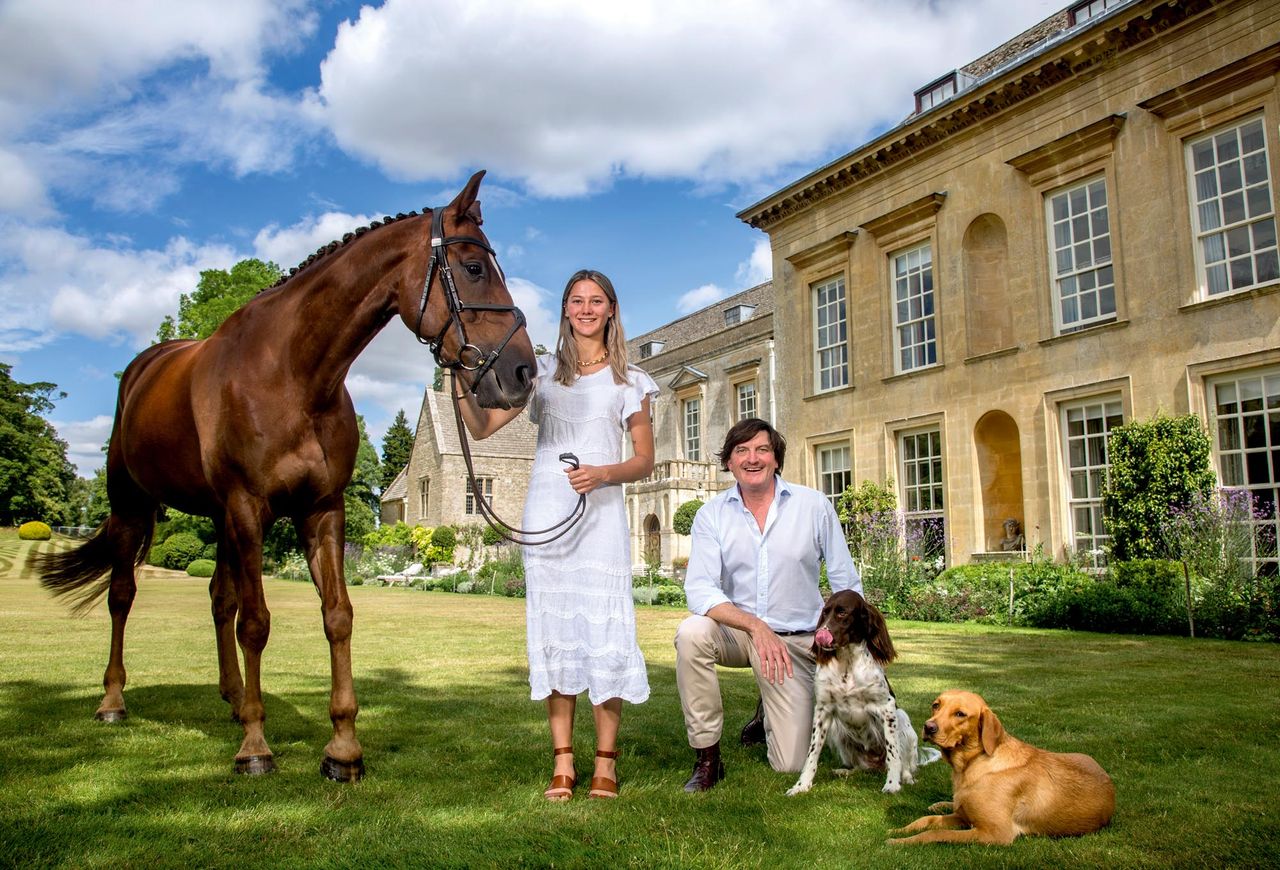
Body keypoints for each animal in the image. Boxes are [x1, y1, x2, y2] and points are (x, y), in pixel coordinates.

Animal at [33, 170, 535, 783]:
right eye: (474, 267)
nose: (523, 371)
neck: (298, 373)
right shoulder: (250, 506)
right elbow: (256, 622)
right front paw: (256, 745)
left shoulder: (320, 508)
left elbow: (337, 615)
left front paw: (342, 747)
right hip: (134, 504)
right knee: (123, 595)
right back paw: (115, 700)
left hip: (218, 516)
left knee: (218, 597)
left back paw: (232, 697)